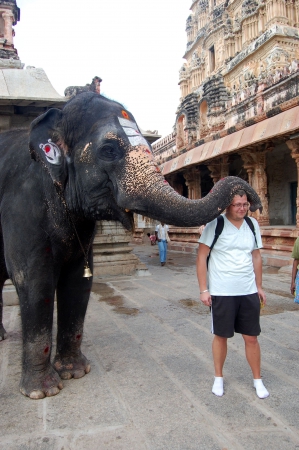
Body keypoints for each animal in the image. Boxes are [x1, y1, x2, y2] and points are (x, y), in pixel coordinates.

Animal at [0, 91, 262, 398]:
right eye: (109, 150)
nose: (251, 200)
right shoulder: (22, 205)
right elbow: (34, 281)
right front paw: (43, 392)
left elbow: (79, 281)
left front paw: (76, 372)